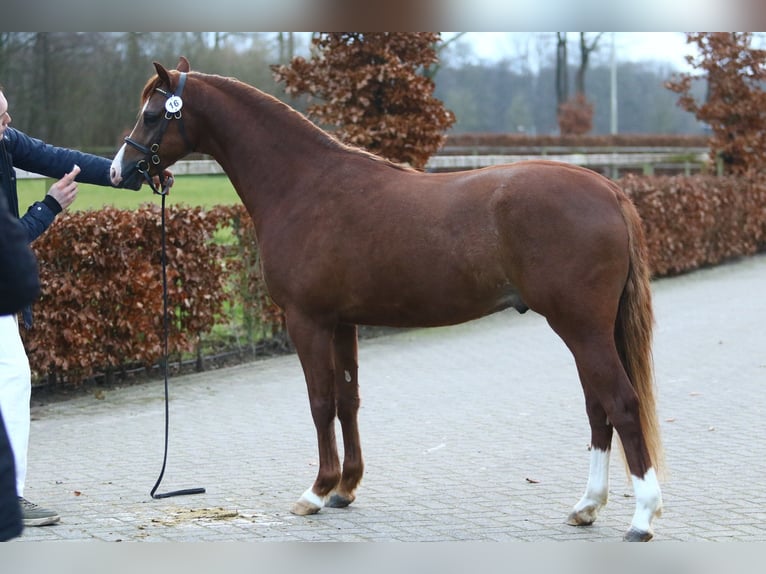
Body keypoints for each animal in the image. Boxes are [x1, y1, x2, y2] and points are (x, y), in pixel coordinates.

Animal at [109, 56, 664, 544]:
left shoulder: (307, 321)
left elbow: (320, 402)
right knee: (598, 409)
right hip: (586, 330)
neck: (302, 185)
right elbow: (348, 400)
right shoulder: (342, 322)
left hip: (581, 327)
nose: (120, 170)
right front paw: (345, 488)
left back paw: (641, 518)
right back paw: (587, 507)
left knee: (621, 404)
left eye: (153, 114)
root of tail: (609, 189)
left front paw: (316, 491)